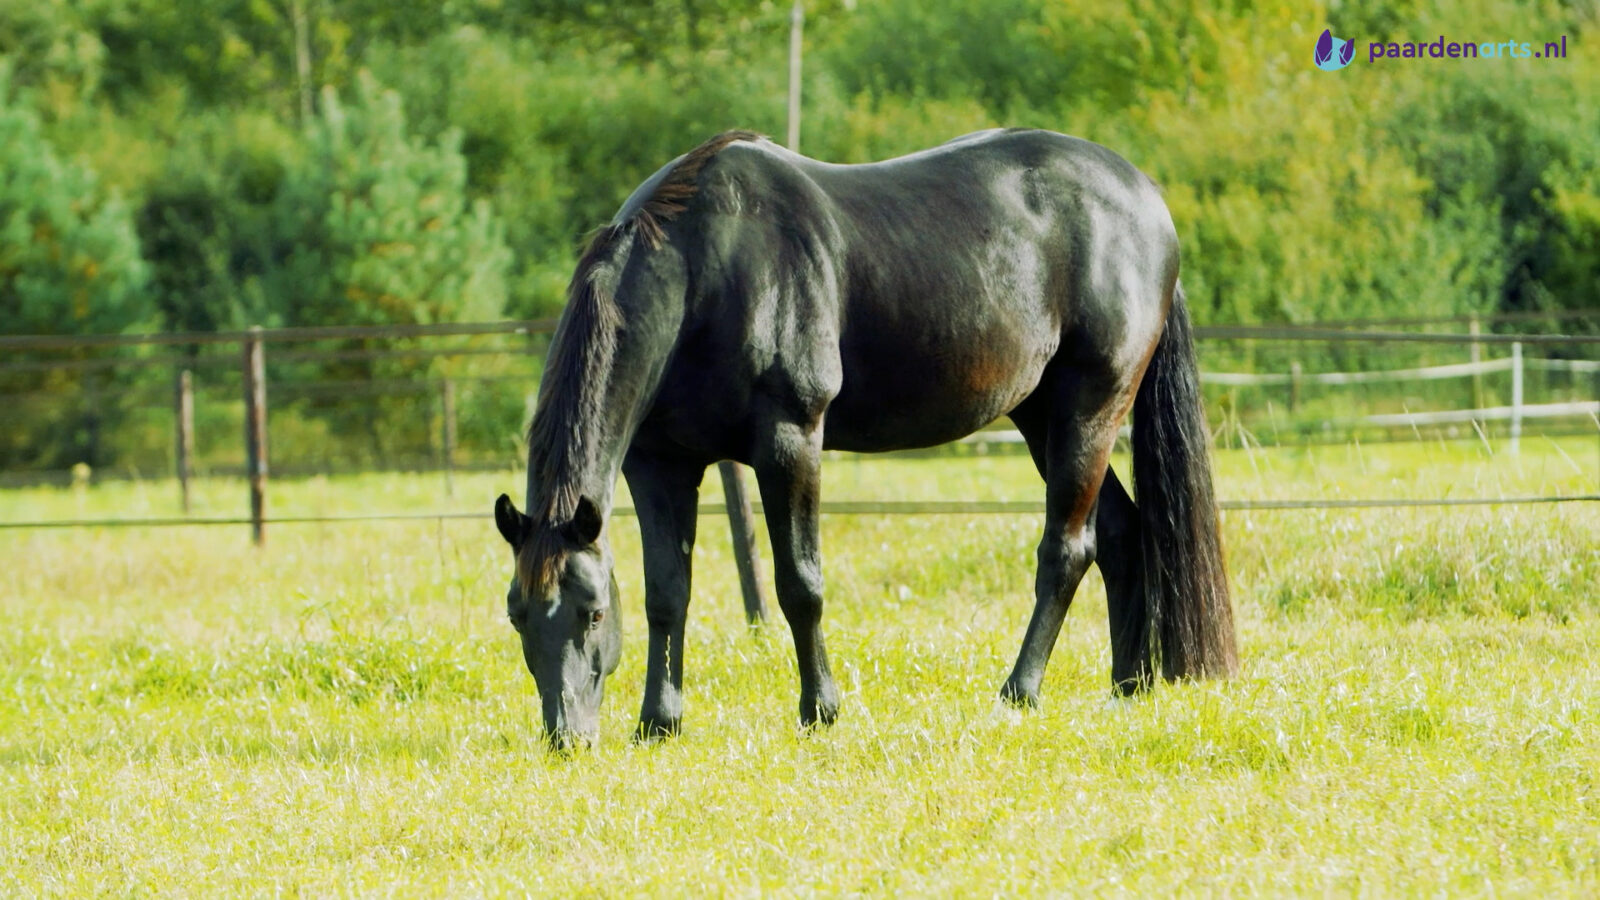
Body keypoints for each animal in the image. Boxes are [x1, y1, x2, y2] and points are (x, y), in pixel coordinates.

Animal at [493, 128, 1238, 750]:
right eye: (518, 615)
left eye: (592, 614)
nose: (567, 736)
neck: (703, 270)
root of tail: (1144, 199)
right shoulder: (660, 466)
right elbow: (666, 593)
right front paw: (659, 721)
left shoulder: (790, 441)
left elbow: (799, 584)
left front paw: (820, 709)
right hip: (1042, 417)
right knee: (1121, 534)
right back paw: (1128, 686)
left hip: (1090, 409)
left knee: (1067, 549)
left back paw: (1019, 691)